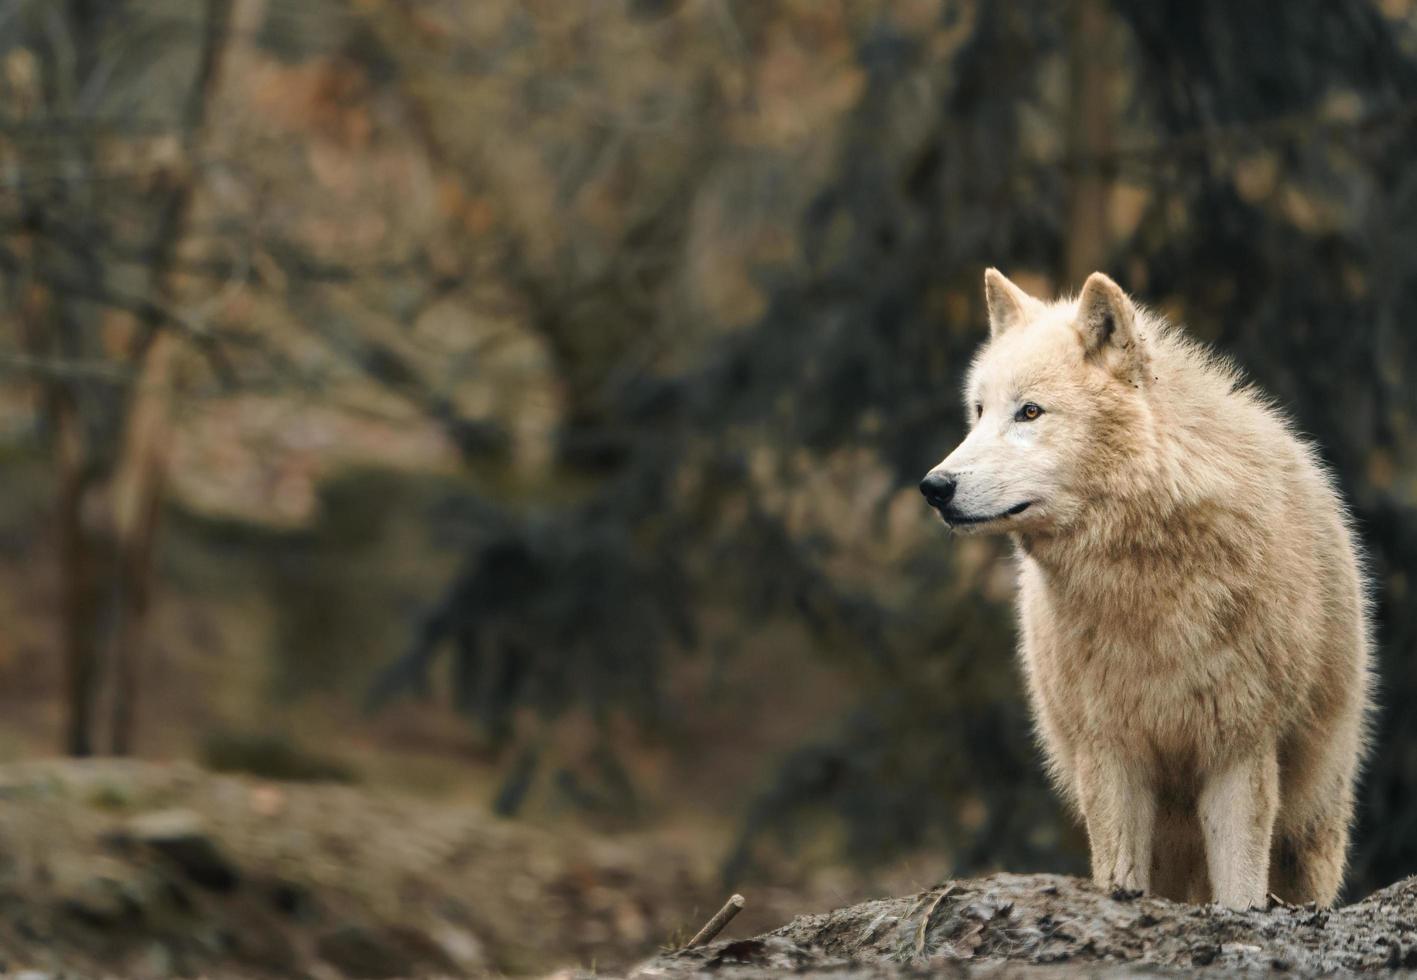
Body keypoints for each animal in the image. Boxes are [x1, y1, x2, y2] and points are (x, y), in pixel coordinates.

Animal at [918, 270, 1371, 912]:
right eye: (978, 412)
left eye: (1029, 412)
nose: (934, 486)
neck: (1143, 587)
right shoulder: (1109, 753)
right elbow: (1116, 874)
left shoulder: (1239, 750)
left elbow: (1239, 888)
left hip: (1309, 829)